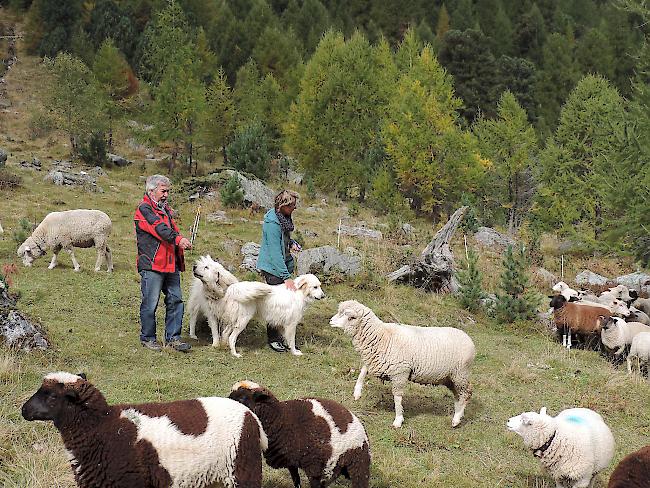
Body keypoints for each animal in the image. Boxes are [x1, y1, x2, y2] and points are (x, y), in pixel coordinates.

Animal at [187, 258, 324, 356]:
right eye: (315, 287)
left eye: (319, 286)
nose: (323, 296)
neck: (299, 293)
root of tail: (234, 289)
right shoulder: (291, 324)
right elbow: (292, 340)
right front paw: (294, 352)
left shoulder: (283, 324)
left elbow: (285, 338)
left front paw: (286, 347)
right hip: (242, 321)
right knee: (231, 337)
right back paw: (235, 354)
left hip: (234, 320)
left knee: (225, 333)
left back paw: (224, 347)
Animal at [228, 382, 370, 488]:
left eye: (242, 398)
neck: (281, 417)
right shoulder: (291, 461)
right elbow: (296, 480)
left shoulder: (316, 469)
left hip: (358, 467)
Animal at [330, 300, 476, 428]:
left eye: (349, 316)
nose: (330, 321)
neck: (382, 336)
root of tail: (469, 339)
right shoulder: (375, 360)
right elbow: (363, 371)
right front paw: (357, 392)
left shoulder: (400, 372)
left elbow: (397, 397)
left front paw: (398, 420)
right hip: (450, 377)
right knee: (458, 395)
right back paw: (457, 414)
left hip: (460, 373)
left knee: (466, 393)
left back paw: (456, 419)